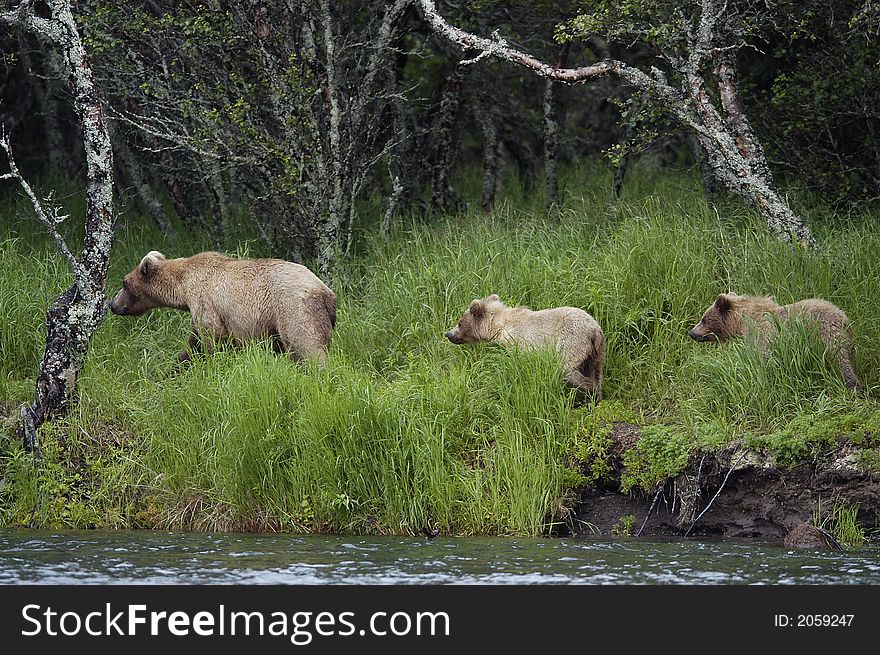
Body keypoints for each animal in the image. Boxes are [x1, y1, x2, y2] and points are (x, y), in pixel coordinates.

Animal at [110, 251, 336, 364]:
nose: (113, 305)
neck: (182, 287)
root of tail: (325, 292)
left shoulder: (205, 302)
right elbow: (193, 346)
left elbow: (212, 340)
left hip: (294, 310)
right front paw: (175, 369)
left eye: (124, 283)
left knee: (307, 347)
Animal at [446, 296, 604, 400]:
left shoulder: (520, 342)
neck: (500, 327)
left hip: (571, 344)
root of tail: (594, 329)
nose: (448, 334)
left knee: (568, 370)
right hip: (596, 352)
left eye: (459, 323)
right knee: (596, 373)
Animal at [688, 292, 860, 390]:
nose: (691, 332)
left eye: (704, 319)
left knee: (840, 360)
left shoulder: (762, 334)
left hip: (826, 335)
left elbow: (764, 359)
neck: (741, 322)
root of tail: (843, 318)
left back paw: (852, 385)